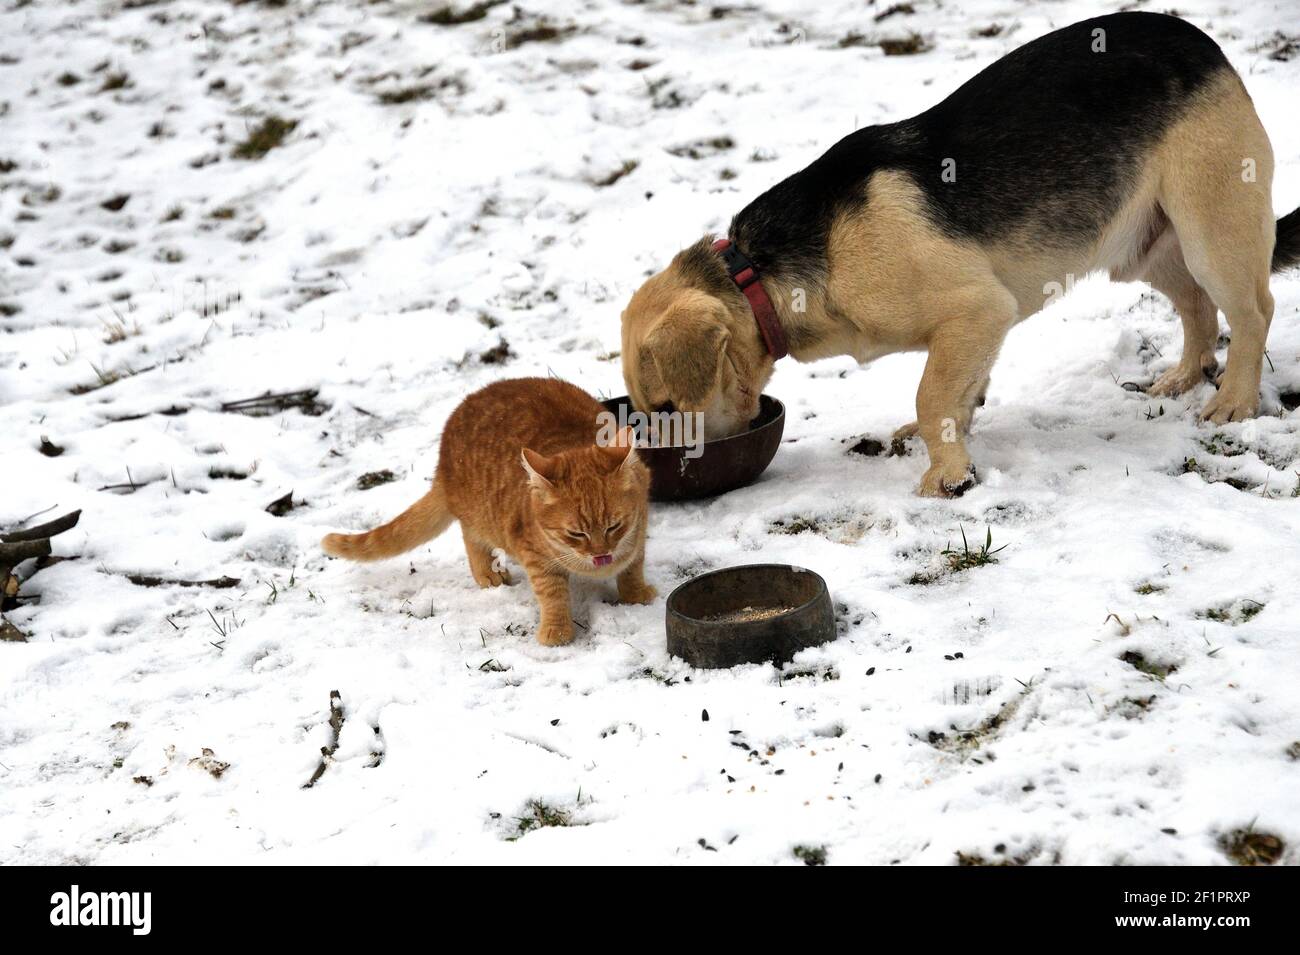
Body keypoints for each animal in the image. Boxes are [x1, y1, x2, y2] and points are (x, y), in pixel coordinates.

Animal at [319, 376, 655, 647]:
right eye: (576, 533)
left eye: (614, 526)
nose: (601, 554)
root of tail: (442, 464)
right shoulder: (533, 554)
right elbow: (552, 592)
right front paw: (557, 631)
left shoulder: (639, 528)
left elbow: (633, 565)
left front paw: (635, 594)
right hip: (480, 517)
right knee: (471, 537)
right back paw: (486, 572)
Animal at [621, 11, 1300, 496]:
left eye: (667, 407)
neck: (756, 274)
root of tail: (1201, 41)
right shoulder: (974, 329)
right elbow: (958, 394)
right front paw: (957, 444)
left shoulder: (977, 309)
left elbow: (930, 397)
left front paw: (947, 475)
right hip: (1140, 246)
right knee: (1197, 308)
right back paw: (1186, 375)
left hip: (1211, 229)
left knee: (1251, 312)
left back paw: (1233, 400)